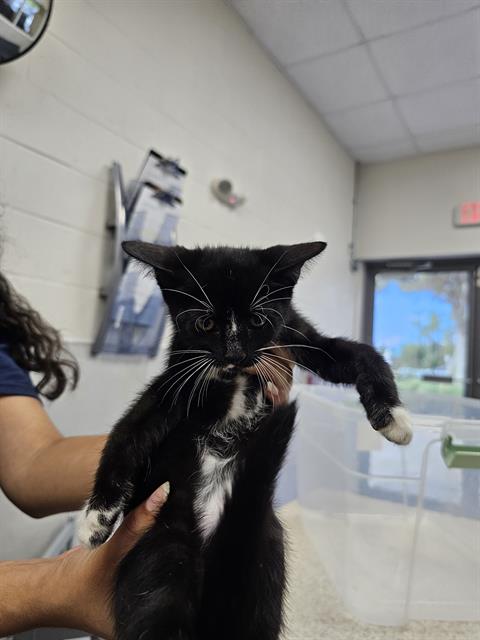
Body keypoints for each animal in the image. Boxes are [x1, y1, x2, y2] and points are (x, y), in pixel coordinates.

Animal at [79, 241, 412, 640]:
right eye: (205, 323)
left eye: (257, 321)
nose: (234, 355)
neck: (235, 378)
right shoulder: (180, 375)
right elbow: (130, 429)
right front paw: (96, 518)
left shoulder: (294, 331)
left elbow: (359, 353)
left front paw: (394, 419)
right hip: (162, 544)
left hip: (263, 555)